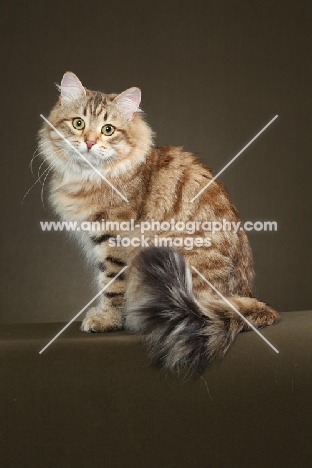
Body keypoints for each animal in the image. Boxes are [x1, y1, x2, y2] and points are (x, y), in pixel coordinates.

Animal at [37, 72, 280, 372]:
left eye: (108, 129)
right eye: (78, 123)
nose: (90, 142)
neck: (88, 177)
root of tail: (247, 297)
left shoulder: (114, 238)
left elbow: (110, 284)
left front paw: (107, 320)